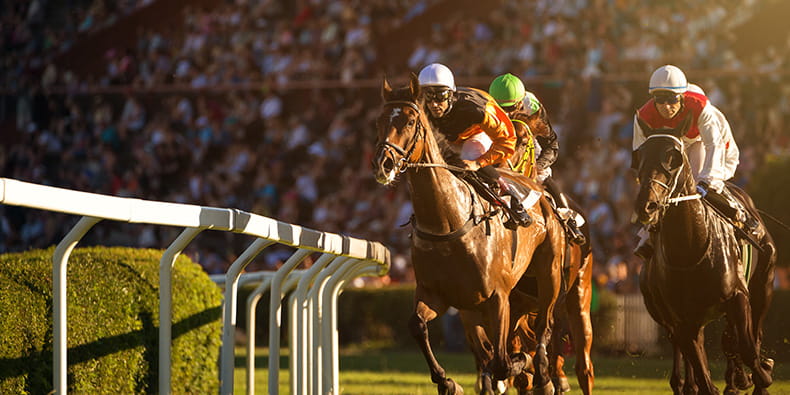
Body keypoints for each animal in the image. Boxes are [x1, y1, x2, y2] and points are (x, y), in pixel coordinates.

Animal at [374, 73, 568, 392]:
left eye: (410, 122)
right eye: (379, 121)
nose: (384, 164)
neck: (448, 222)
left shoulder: (497, 298)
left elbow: (502, 361)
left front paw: (520, 365)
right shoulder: (437, 294)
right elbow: (417, 325)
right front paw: (447, 382)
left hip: (549, 273)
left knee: (545, 325)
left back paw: (542, 376)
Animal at [636, 121, 776, 395]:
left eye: (674, 158)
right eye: (639, 156)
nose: (647, 205)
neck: (691, 247)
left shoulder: (738, 296)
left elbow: (746, 346)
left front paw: (760, 376)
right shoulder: (681, 319)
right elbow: (702, 368)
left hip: (763, 284)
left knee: (751, 335)